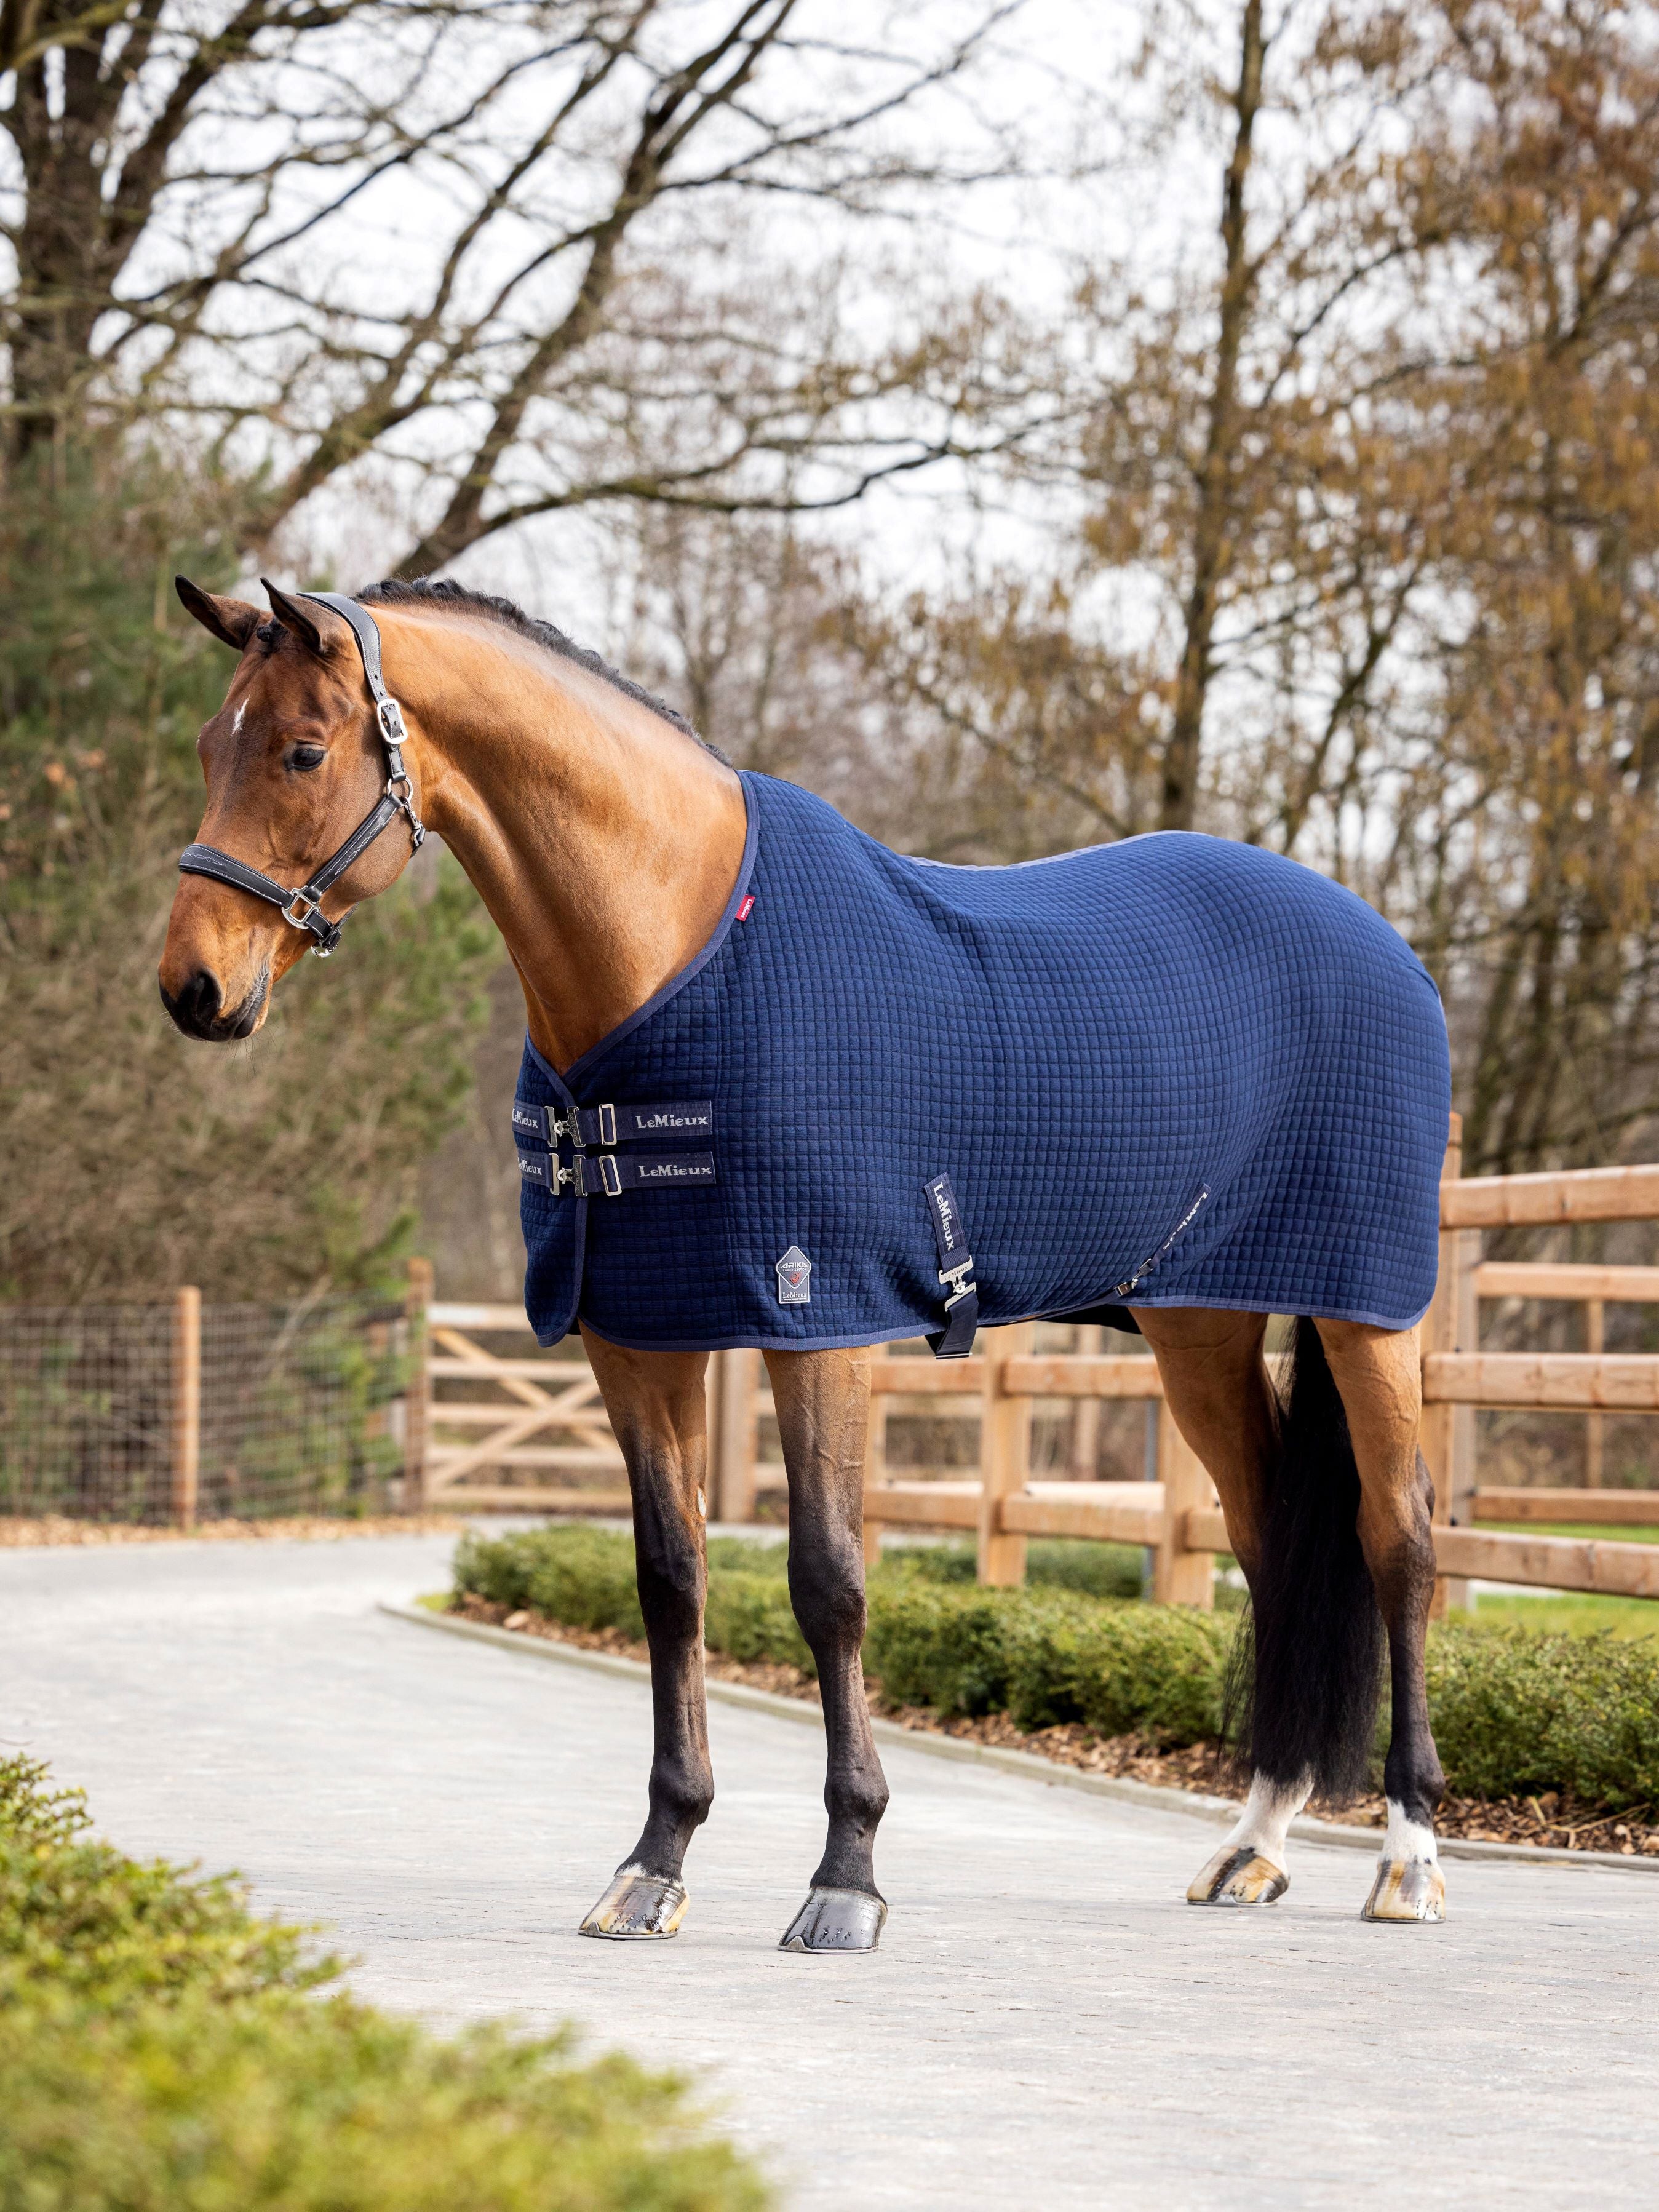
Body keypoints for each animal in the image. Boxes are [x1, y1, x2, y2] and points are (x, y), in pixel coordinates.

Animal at [159, 574, 1452, 1949]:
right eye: (209, 749)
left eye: (302, 751)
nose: (193, 985)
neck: (678, 954)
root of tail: (1386, 946)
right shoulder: (637, 1332)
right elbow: (670, 1578)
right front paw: (656, 1861)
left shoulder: (814, 1319)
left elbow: (828, 1580)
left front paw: (846, 1875)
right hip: (1197, 1325)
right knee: (1270, 1544)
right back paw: (1253, 1842)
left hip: (1369, 1317)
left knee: (1395, 1537)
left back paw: (1408, 1853)